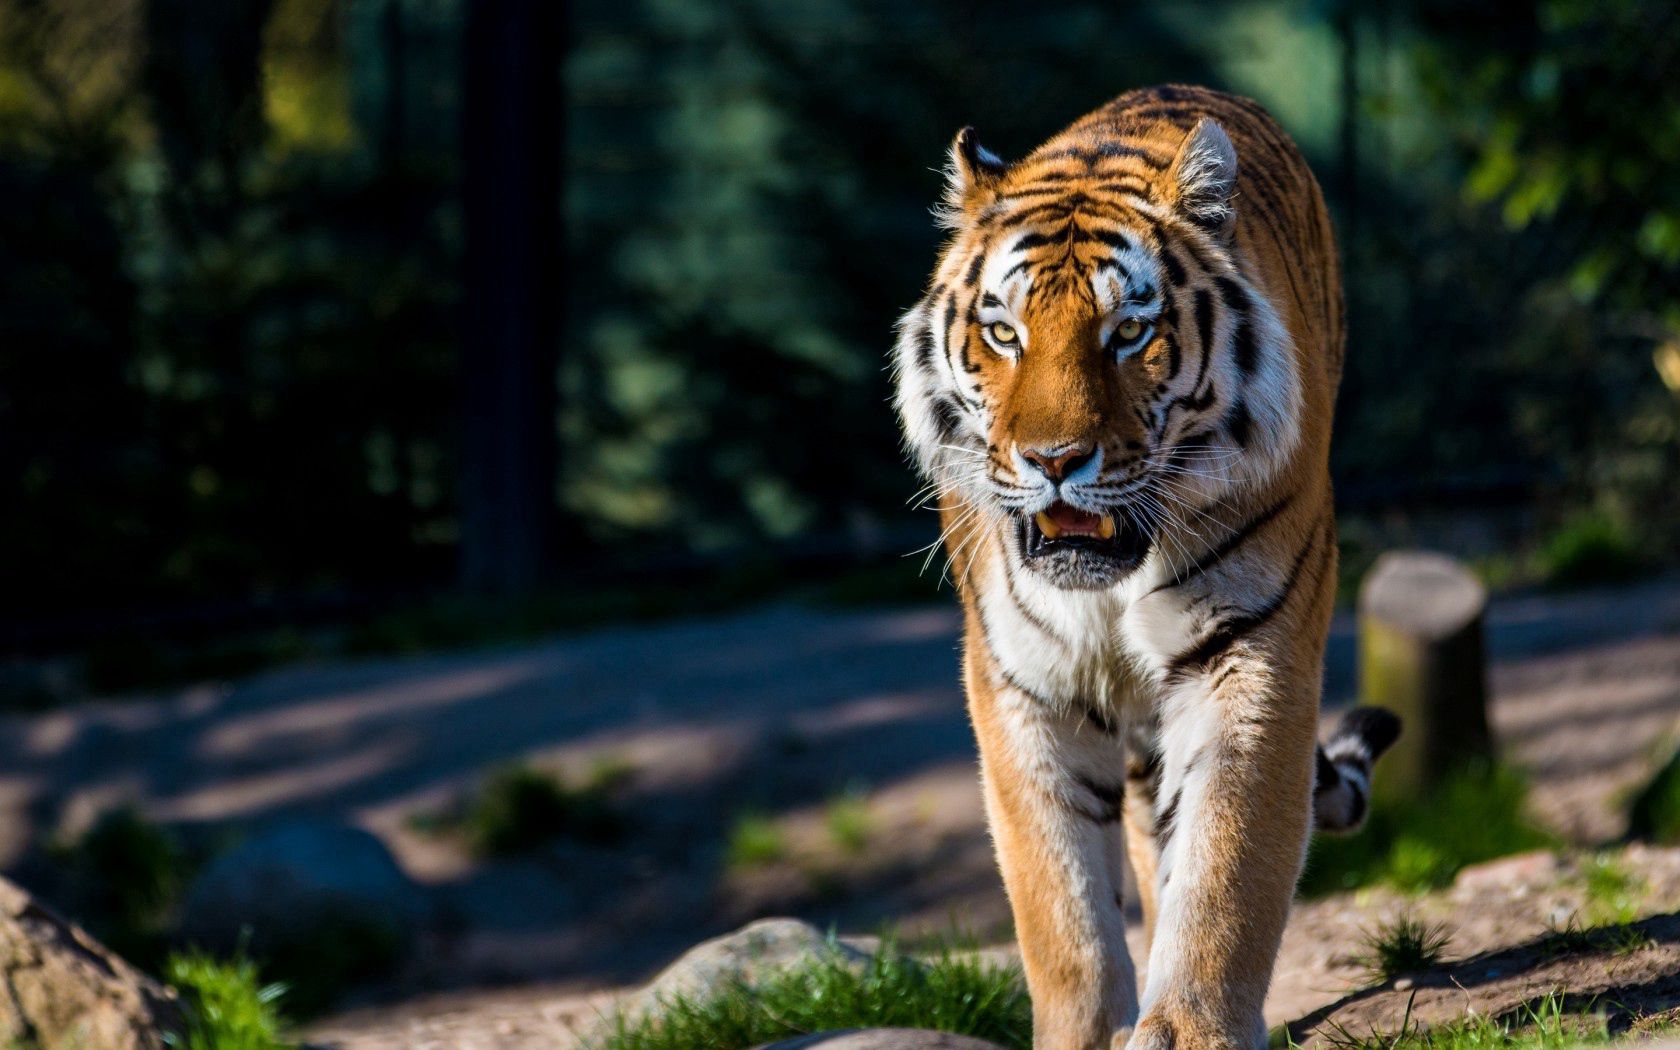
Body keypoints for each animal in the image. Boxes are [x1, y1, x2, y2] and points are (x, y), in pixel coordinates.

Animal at [893, 84, 1404, 1048]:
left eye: (1129, 332)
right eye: (1004, 332)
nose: (1054, 460)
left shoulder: (1251, 651)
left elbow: (1227, 862)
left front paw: (1192, 1028)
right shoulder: (1022, 680)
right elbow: (1057, 901)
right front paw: (1087, 1033)